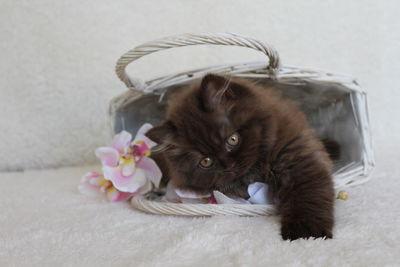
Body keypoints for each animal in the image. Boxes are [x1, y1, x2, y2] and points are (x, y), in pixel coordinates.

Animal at [146, 74, 334, 242]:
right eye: (205, 161)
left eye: (232, 139)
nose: (229, 166)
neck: (257, 169)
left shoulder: (296, 162)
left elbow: (307, 197)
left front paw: (307, 235)